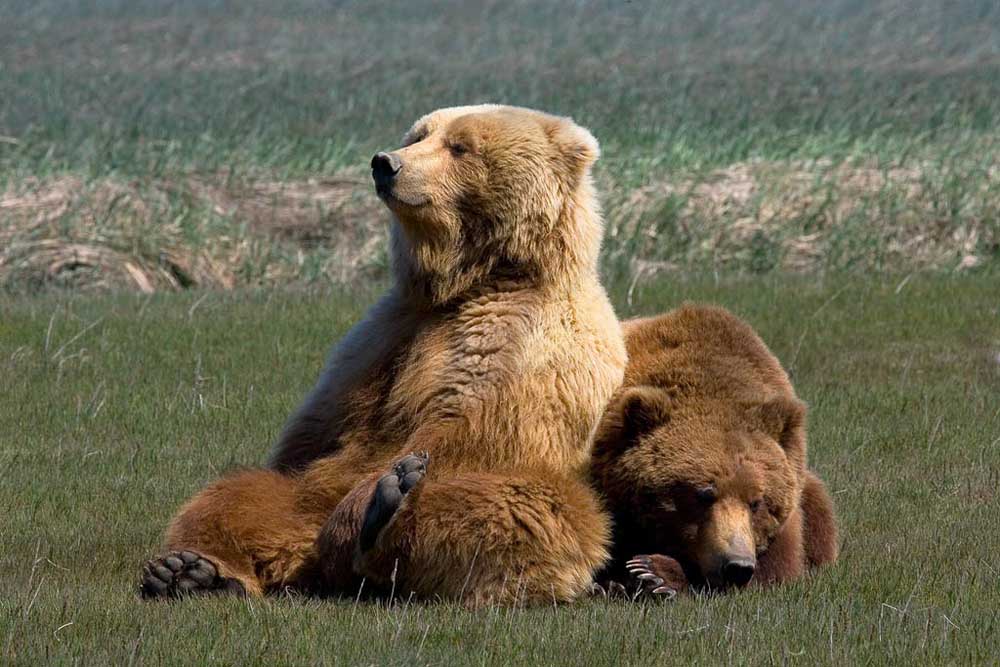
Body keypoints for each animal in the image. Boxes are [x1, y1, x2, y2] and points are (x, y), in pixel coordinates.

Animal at [139, 104, 627, 606]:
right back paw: (194, 571)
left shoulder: (522, 342)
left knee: (525, 509)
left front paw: (389, 491)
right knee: (237, 496)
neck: (469, 281)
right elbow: (321, 432)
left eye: (460, 146)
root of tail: (309, 562)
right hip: (302, 500)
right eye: (419, 135)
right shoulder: (386, 335)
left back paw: (382, 512)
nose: (385, 163)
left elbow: (473, 429)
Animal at [589, 305, 838, 597]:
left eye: (757, 502)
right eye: (704, 494)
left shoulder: (786, 520)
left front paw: (655, 572)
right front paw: (621, 578)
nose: (737, 566)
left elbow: (778, 568)